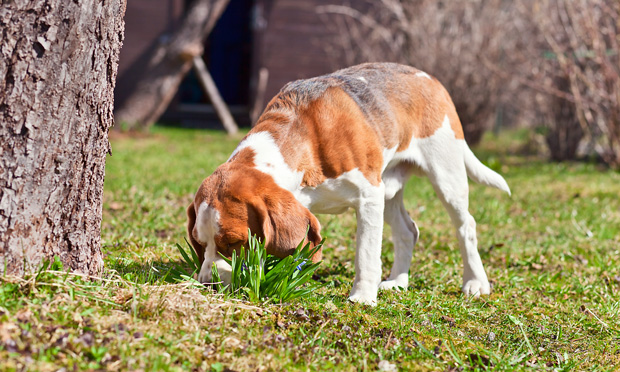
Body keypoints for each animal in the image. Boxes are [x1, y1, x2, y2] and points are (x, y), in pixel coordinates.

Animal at [188, 61, 508, 306]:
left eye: (234, 243)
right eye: (199, 243)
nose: (206, 284)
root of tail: (429, 78)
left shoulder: (369, 197)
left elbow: (365, 253)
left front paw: (363, 297)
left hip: (446, 176)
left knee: (466, 226)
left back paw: (475, 282)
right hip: (390, 189)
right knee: (408, 232)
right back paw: (398, 281)